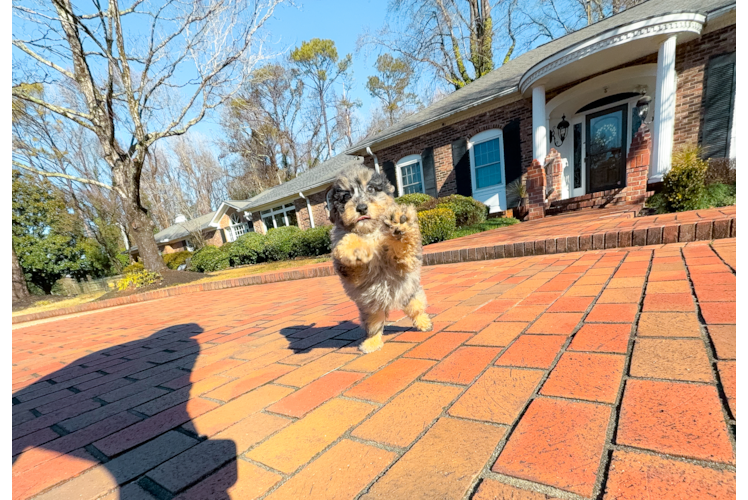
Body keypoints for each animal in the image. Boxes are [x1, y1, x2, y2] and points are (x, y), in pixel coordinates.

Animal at [328, 166, 432, 354]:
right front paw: (355, 248)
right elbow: (351, 247)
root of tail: (389, 303)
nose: (361, 208)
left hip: (410, 295)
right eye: (346, 196)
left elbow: (402, 248)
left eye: (371, 189)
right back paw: (371, 343)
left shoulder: (402, 262)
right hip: (371, 310)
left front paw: (400, 225)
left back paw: (424, 323)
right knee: (375, 328)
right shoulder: (351, 273)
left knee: (417, 310)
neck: (370, 232)